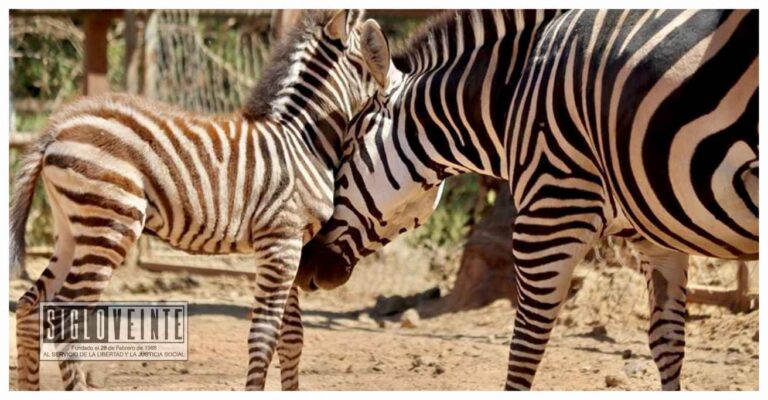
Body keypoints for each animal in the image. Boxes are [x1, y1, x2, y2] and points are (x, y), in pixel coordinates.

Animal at [9, 9, 388, 390]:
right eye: (372, 50)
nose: (393, 84)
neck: (303, 139)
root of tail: (58, 127)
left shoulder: (285, 243)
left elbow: (290, 337)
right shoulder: (283, 239)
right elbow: (265, 334)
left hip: (73, 231)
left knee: (30, 306)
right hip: (110, 226)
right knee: (63, 317)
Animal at [295, 9, 758, 390]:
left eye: (345, 151)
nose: (302, 269)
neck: (512, 95)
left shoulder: (549, 215)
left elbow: (523, 350)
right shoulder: (656, 237)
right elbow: (666, 343)